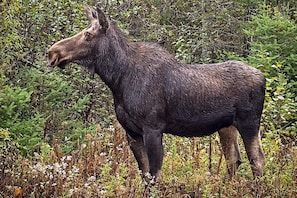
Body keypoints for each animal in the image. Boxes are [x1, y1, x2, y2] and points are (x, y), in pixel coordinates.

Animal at [47, 4, 264, 184]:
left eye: (88, 35)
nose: (52, 52)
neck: (118, 79)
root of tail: (263, 78)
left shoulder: (153, 128)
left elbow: (154, 177)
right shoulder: (132, 132)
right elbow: (144, 176)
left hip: (249, 122)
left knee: (257, 161)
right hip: (226, 126)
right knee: (234, 160)